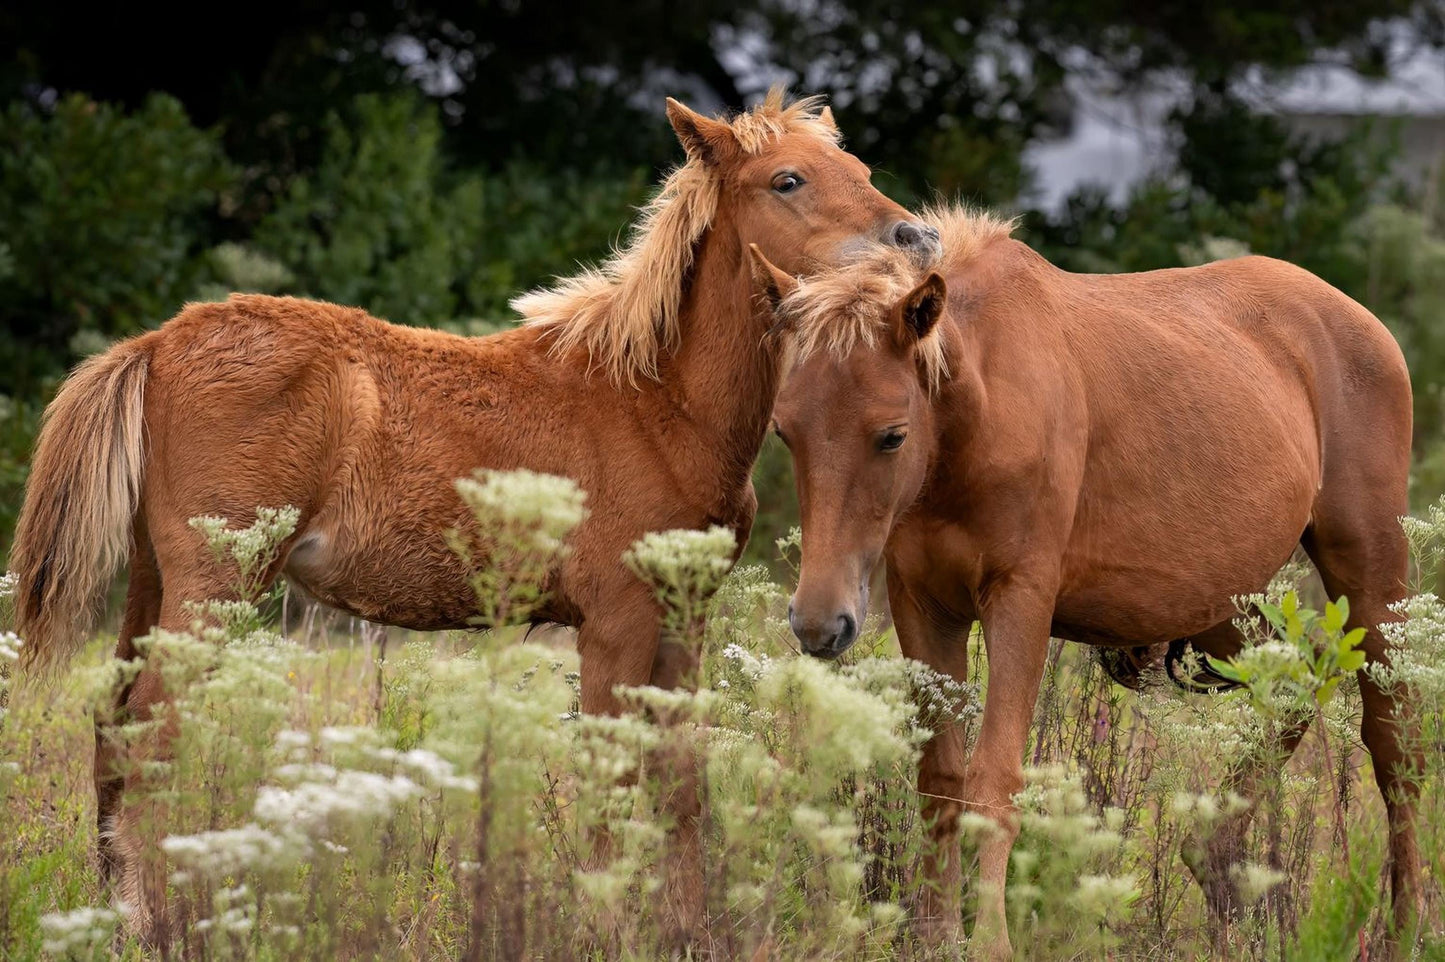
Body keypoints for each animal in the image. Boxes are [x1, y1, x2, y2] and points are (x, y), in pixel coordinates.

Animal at [9, 90, 941, 945]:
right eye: (787, 179)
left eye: (859, 168)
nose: (916, 240)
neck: (655, 399)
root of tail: (156, 344)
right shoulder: (614, 623)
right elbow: (608, 781)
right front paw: (607, 928)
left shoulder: (683, 621)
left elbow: (679, 782)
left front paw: (683, 932)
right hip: (215, 586)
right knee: (149, 734)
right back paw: (151, 926)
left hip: (156, 580)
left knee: (113, 727)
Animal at [759, 206, 1420, 958]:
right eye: (784, 431)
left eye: (892, 435)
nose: (818, 623)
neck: (978, 412)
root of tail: (1360, 322)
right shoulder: (923, 607)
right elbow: (940, 779)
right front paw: (935, 933)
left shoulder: (1019, 602)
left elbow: (993, 781)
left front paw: (989, 939)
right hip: (1223, 611)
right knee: (1293, 686)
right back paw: (1218, 866)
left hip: (1370, 575)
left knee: (1391, 743)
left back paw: (1404, 926)